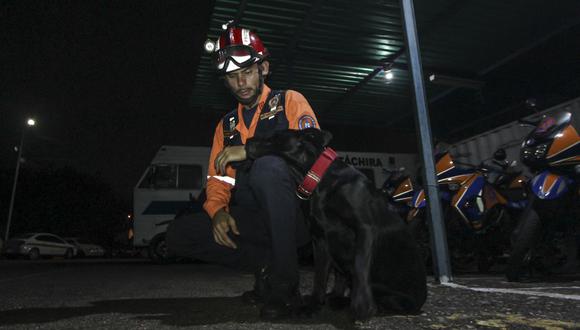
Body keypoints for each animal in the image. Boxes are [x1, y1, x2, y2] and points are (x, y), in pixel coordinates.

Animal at [245, 129, 426, 322]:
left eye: (275, 136)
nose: (247, 141)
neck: (320, 182)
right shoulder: (320, 239)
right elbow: (319, 276)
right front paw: (313, 305)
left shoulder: (364, 228)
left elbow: (360, 267)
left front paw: (362, 306)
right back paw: (335, 297)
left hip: (394, 295)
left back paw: (351, 302)